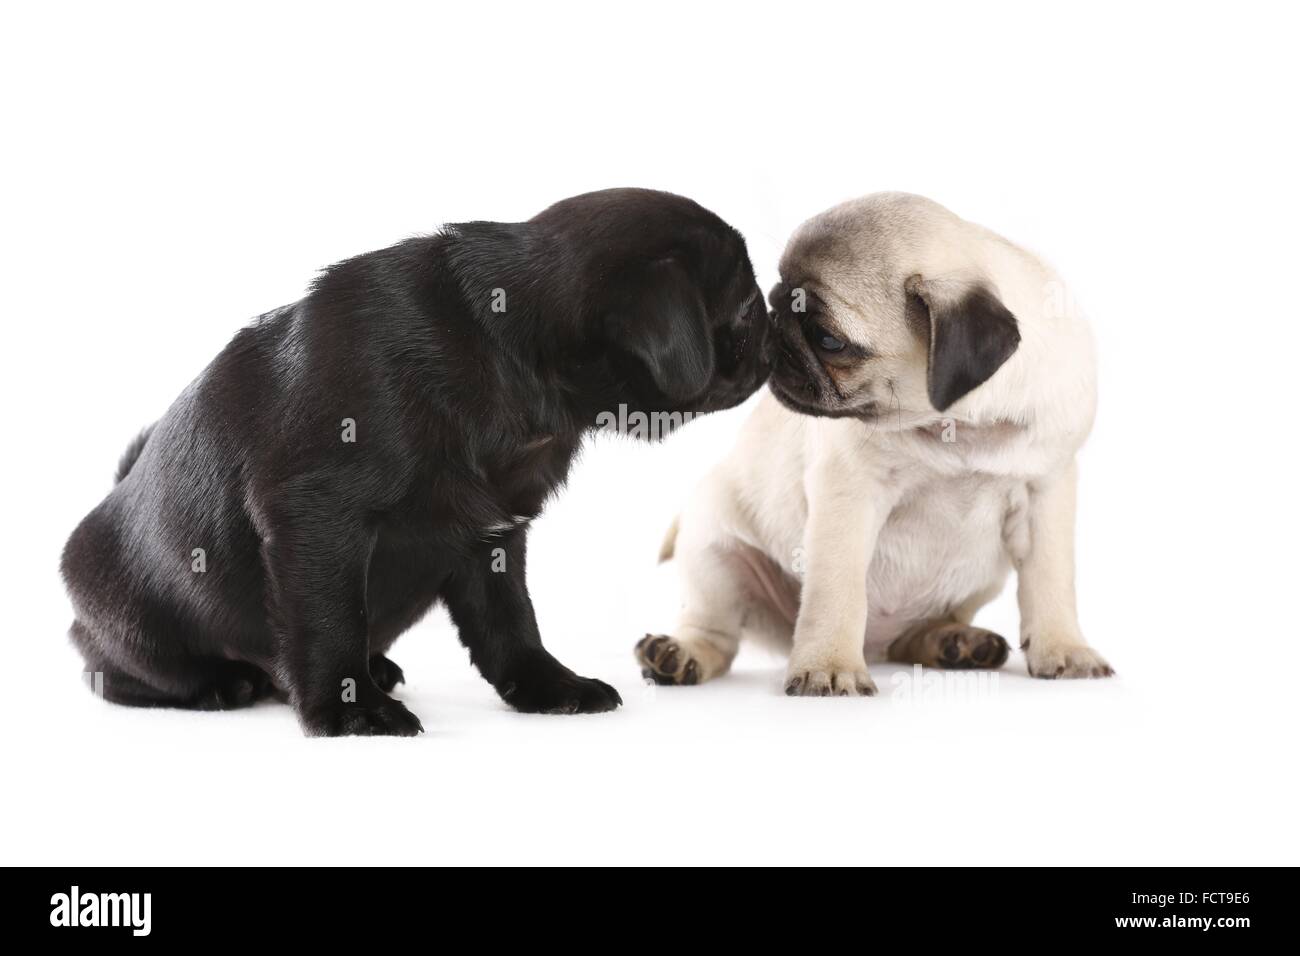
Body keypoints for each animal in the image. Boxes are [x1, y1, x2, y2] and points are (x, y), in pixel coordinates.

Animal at [63, 188, 769, 738]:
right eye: (744, 309)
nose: (778, 321)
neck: (504, 346)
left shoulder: (495, 535)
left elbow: (510, 624)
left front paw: (548, 687)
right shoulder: (318, 521)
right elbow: (330, 620)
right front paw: (350, 711)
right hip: (132, 627)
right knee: (117, 670)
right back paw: (220, 682)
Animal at [634, 192, 1112, 697]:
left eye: (828, 339)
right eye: (778, 296)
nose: (771, 326)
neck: (956, 425)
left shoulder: (1047, 489)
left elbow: (1050, 580)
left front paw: (1065, 648)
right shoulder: (849, 493)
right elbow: (838, 589)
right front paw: (829, 665)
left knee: (914, 636)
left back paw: (955, 642)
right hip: (717, 555)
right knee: (716, 633)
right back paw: (678, 654)